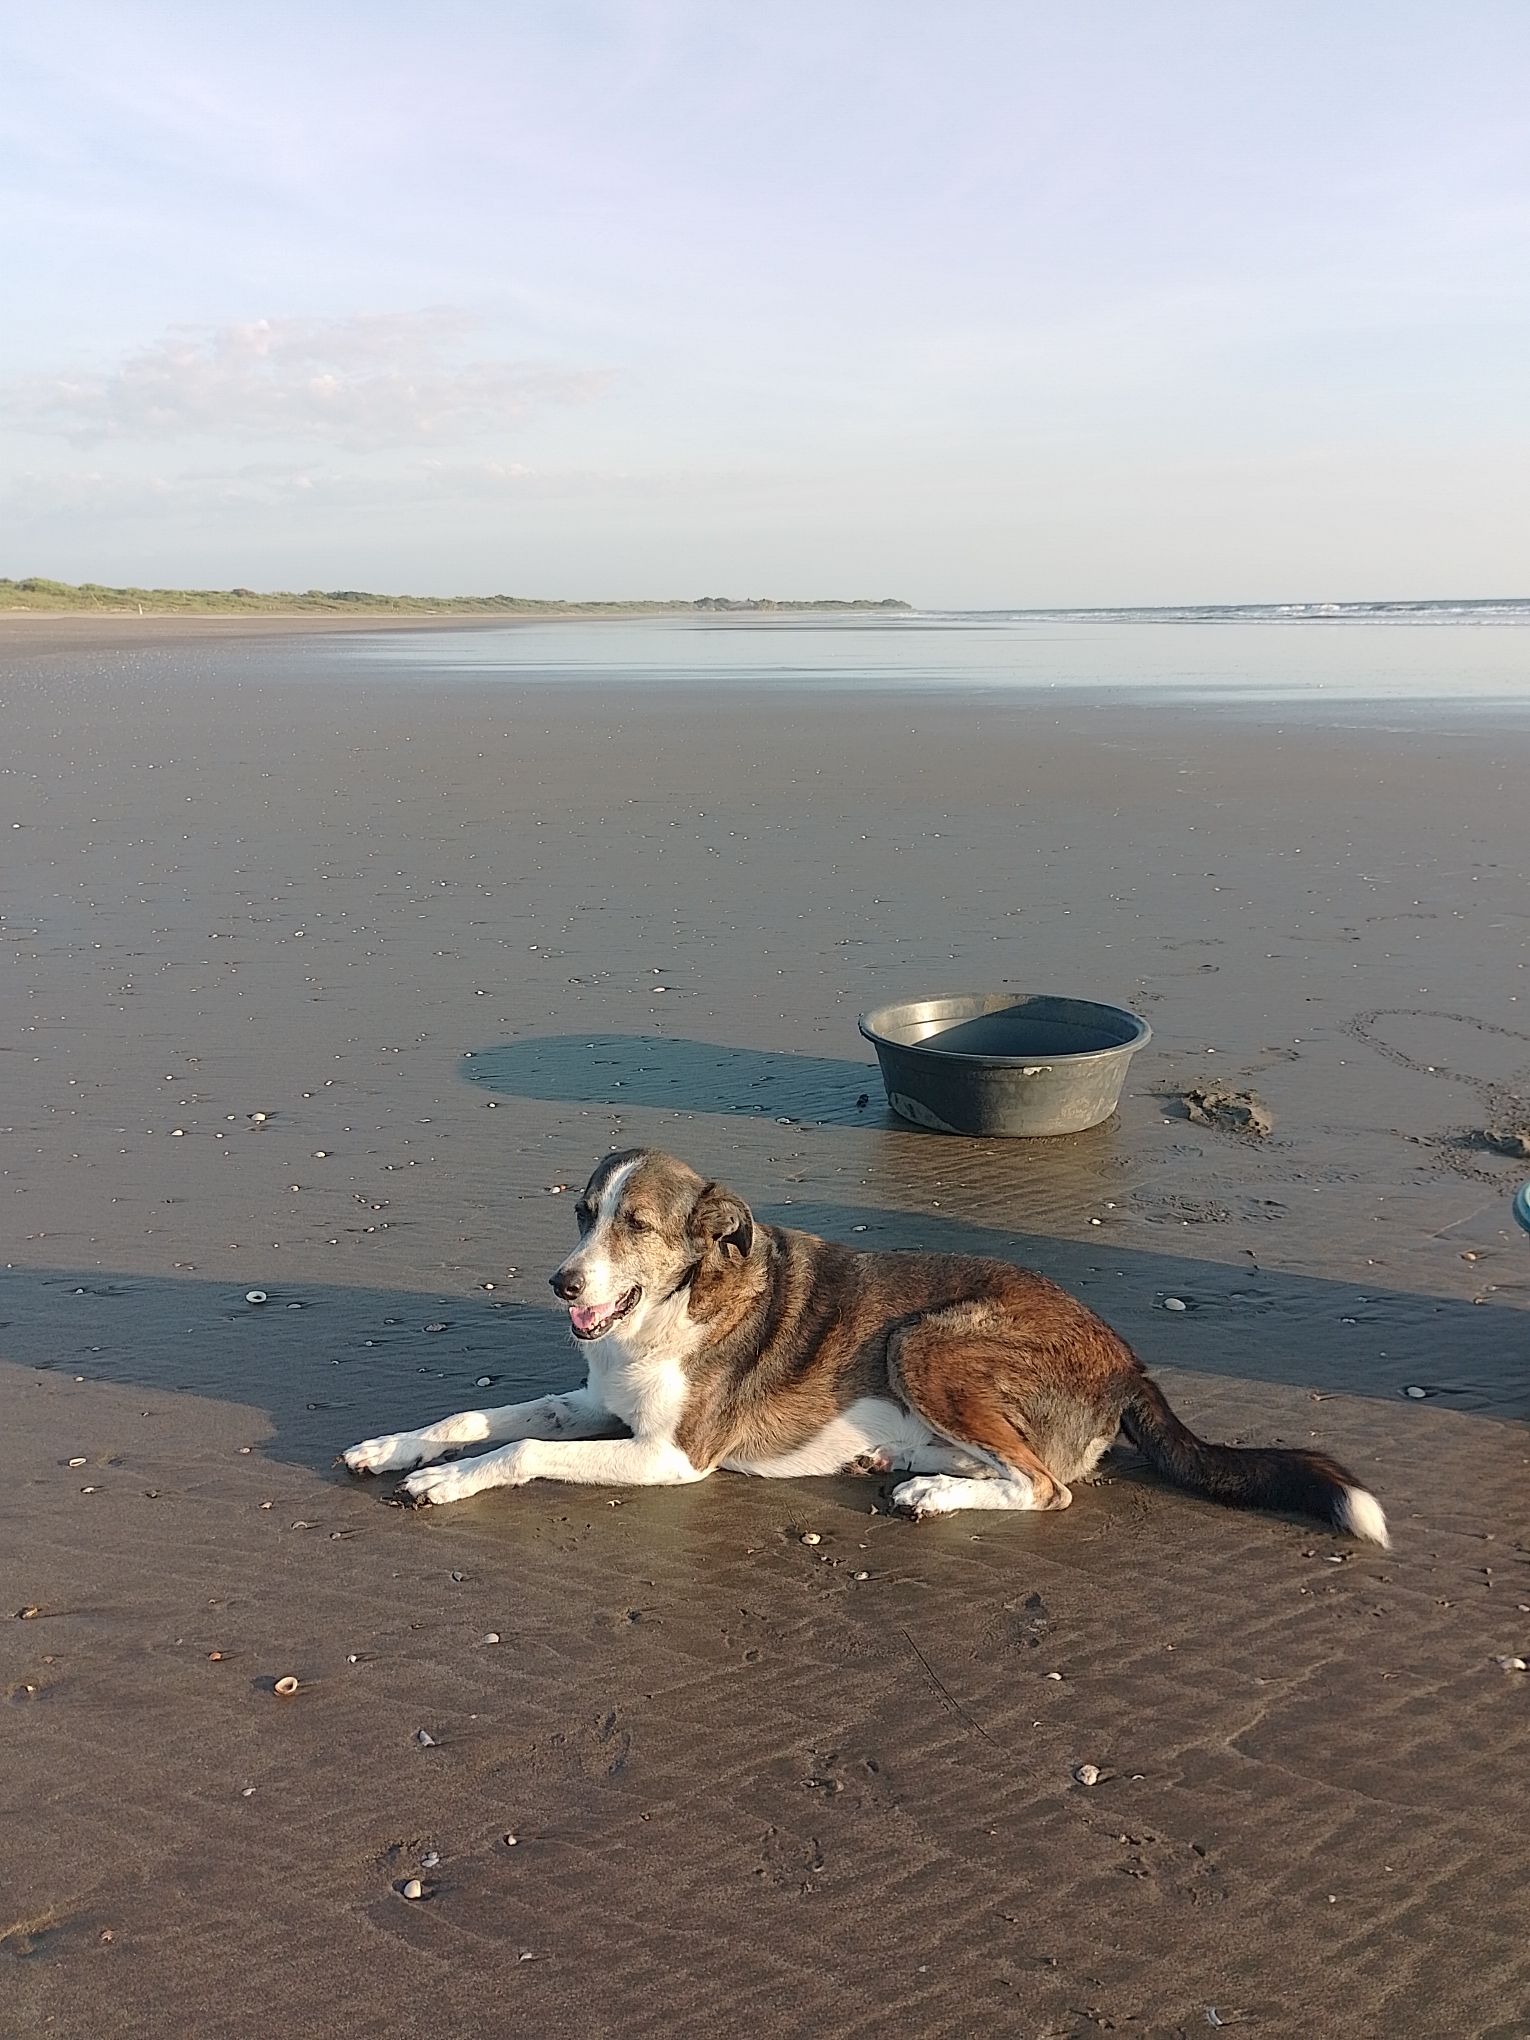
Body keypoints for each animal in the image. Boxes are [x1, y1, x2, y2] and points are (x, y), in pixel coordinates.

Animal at [342, 1148, 1389, 1543]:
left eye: (634, 1224)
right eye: (582, 1214)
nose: (562, 1284)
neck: (677, 1305)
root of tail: (1129, 1359)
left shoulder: (671, 1457)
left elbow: (518, 1446)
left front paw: (444, 1481)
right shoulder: (596, 1404)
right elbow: (475, 1415)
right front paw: (393, 1446)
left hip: (927, 1343)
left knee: (1043, 1488)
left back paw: (934, 1493)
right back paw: (909, 1465)